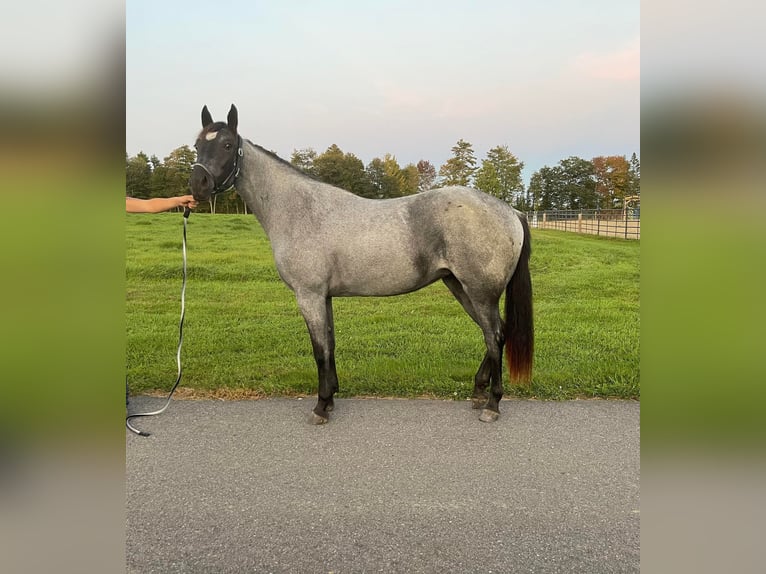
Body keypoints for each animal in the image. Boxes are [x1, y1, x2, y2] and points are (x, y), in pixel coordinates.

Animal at [190, 104, 536, 428]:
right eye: (196, 145)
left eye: (226, 145)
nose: (198, 184)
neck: (299, 210)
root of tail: (512, 212)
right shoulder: (324, 297)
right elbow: (330, 344)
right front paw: (330, 398)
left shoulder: (309, 296)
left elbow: (319, 349)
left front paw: (320, 407)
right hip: (460, 287)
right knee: (492, 335)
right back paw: (478, 393)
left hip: (480, 292)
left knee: (495, 337)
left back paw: (492, 405)